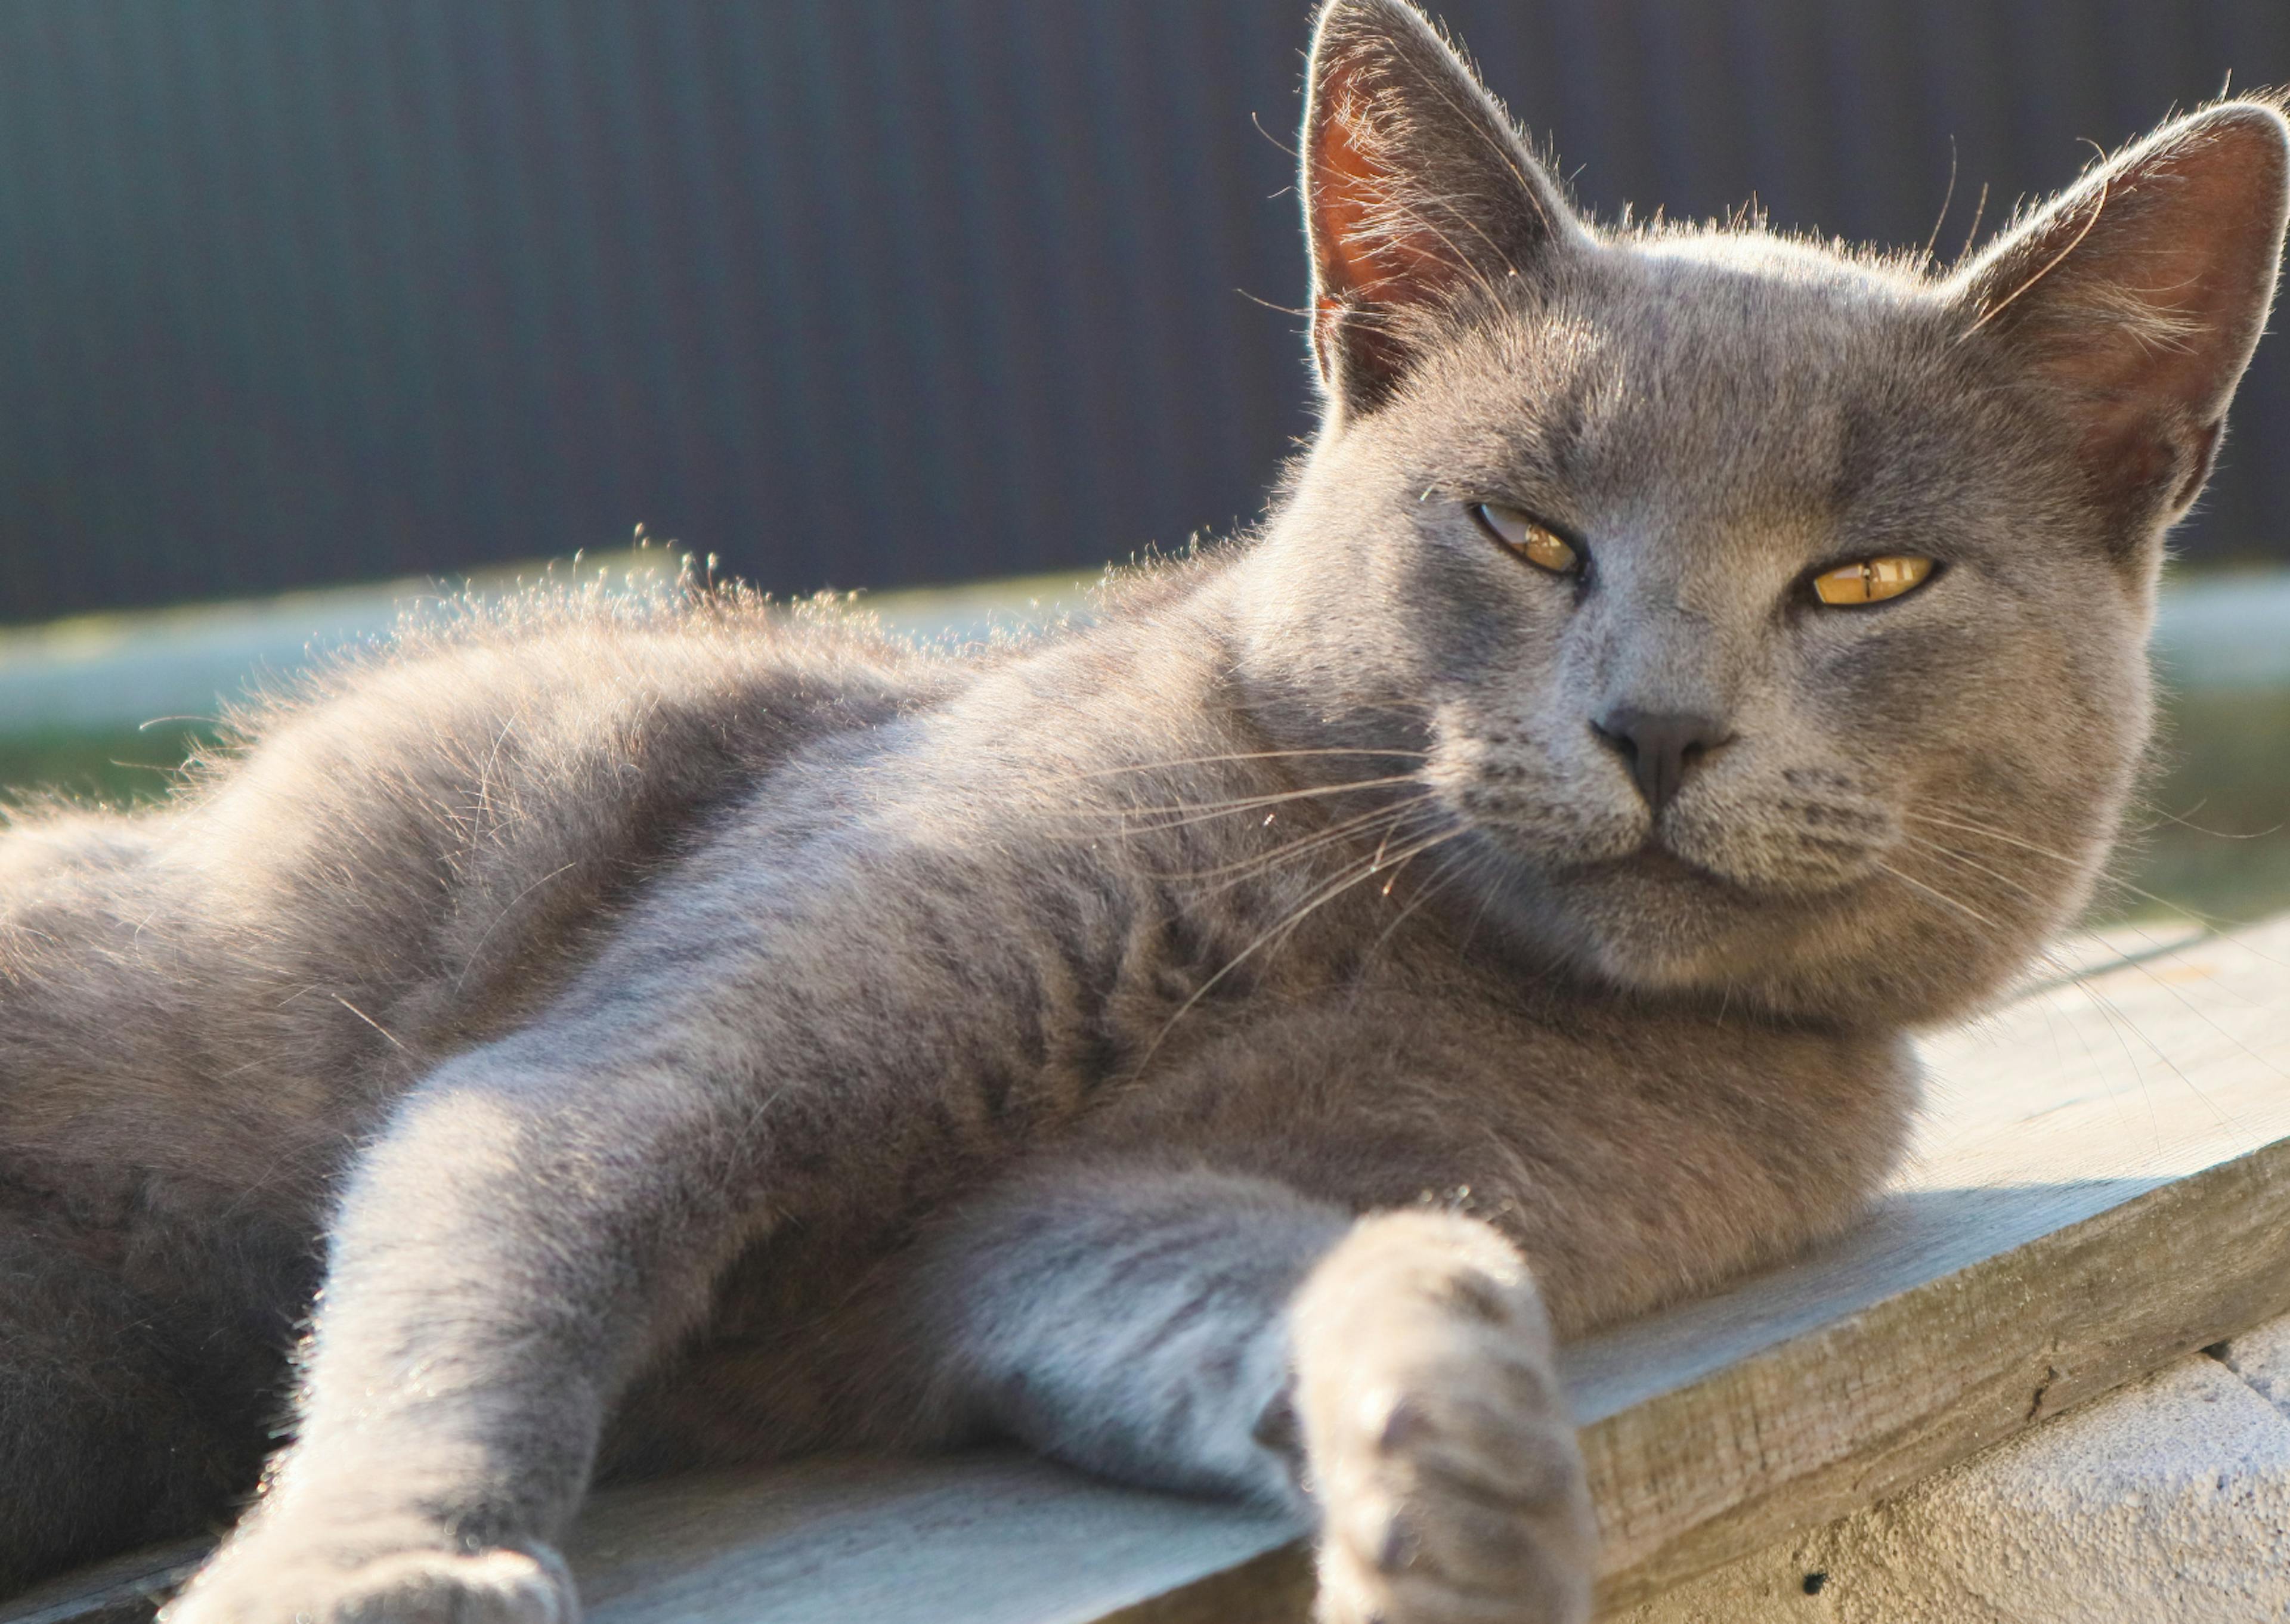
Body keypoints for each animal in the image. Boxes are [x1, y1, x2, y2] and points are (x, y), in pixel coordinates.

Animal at [0, 3, 2280, 1622]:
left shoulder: (1067, 1228)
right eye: (1527, 533)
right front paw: (367, 1567)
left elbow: (1298, 1264)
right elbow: (498, 1275)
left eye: (1868, 580)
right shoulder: (634, 1058)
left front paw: (1462, 1480)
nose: (1654, 725)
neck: (1363, 927)